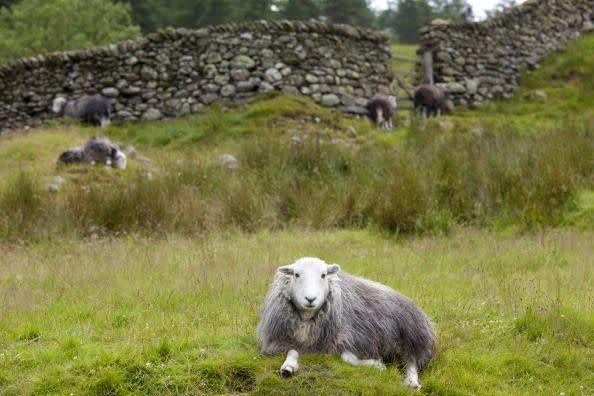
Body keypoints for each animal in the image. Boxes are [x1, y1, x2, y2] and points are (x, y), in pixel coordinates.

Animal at [256, 256, 434, 390]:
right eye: (296, 275)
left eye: (323, 275)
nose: (310, 299)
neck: (307, 318)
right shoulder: (281, 342)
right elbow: (292, 351)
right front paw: (288, 367)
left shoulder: (346, 340)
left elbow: (346, 357)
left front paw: (377, 365)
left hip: (408, 337)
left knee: (411, 361)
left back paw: (411, 382)